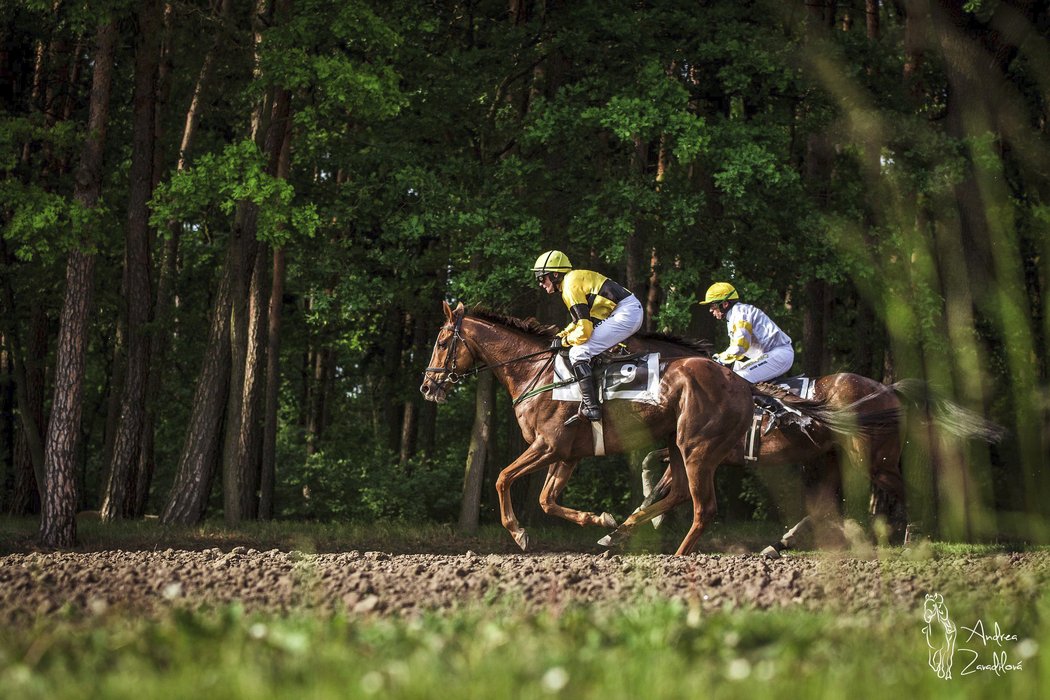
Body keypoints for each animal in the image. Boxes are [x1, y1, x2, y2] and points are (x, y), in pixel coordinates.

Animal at [417, 302, 886, 558]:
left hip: (698, 449)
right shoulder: (566, 454)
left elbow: (501, 478)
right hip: (689, 447)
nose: (427, 386)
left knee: (703, 506)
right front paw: (601, 520)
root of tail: (741, 384)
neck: (538, 372)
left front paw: (518, 533)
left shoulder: (548, 446)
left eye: (441, 342)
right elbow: (548, 500)